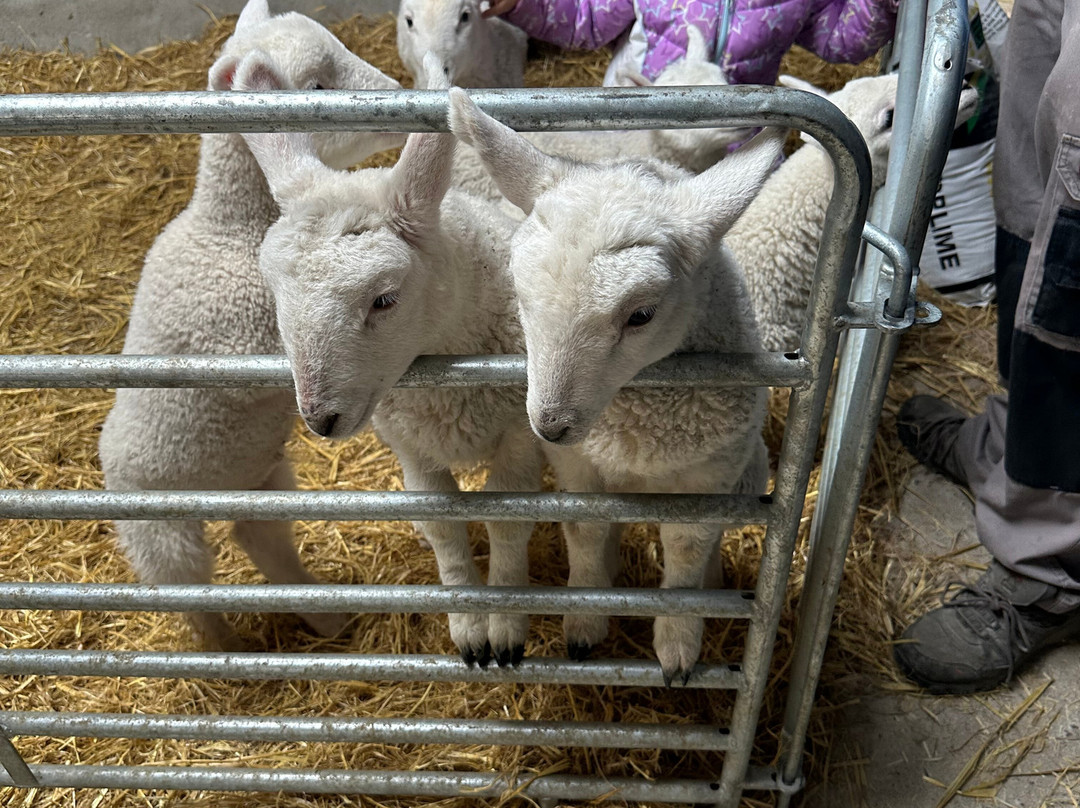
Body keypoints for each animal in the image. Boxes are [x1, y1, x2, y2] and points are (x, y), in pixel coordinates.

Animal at [97, 0, 404, 652]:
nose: (398, 95)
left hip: (265, 475)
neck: (229, 227)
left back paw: (325, 616)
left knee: (260, 538)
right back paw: (222, 650)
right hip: (156, 525)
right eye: (316, 87)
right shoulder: (234, 333)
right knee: (185, 586)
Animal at [237, 53, 541, 668]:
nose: (320, 419)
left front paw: (505, 625)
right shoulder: (411, 445)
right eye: (275, 293)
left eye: (384, 299)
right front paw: (469, 626)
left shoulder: (521, 437)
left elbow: (507, 522)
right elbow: (444, 529)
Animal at [449, 88, 782, 684]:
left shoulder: (708, 475)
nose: (550, 425)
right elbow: (585, 531)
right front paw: (585, 619)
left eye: (641, 315)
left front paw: (679, 642)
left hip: (749, 471)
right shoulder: (578, 465)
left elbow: (688, 547)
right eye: (519, 293)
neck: (637, 428)